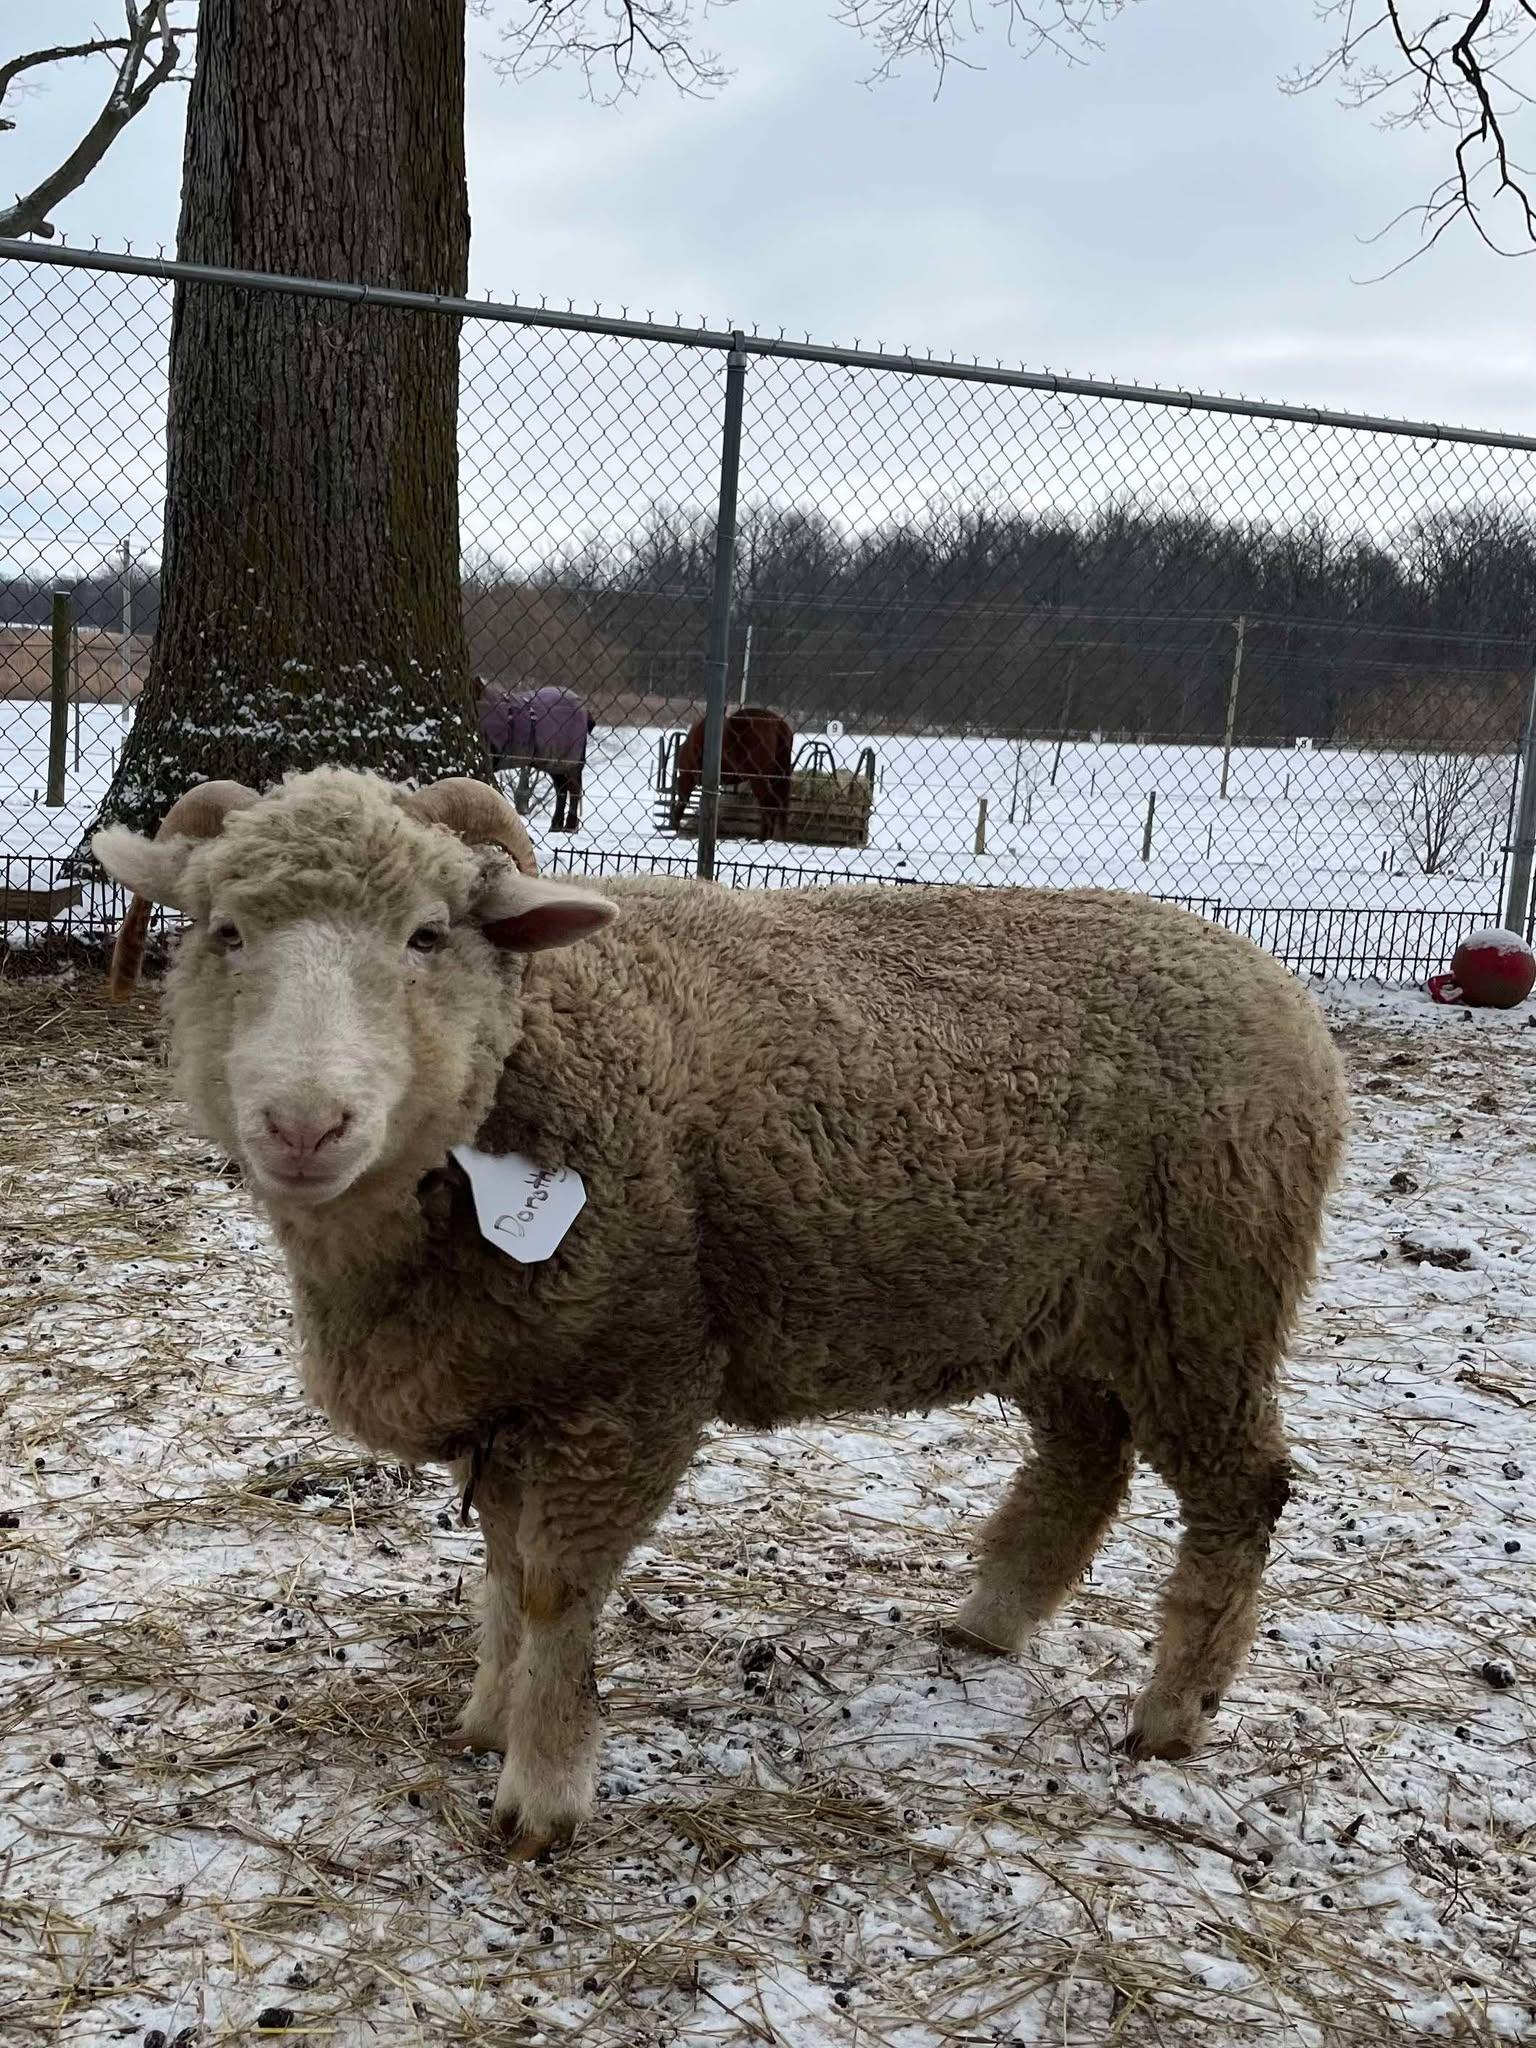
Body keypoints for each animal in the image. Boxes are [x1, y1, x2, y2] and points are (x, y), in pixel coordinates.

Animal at [94, 766, 1348, 1860]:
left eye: (427, 935)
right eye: (224, 932)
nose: (304, 1124)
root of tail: (1269, 974)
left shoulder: (634, 1374)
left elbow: (554, 1586)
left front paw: (542, 1788)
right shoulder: (516, 1384)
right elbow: (500, 1566)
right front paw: (489, 1712)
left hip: (1208, 1297)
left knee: (1241, 1490)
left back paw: (1173, 1712)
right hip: (1064, 1312)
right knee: (1085, 1459)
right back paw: (989, 1617)